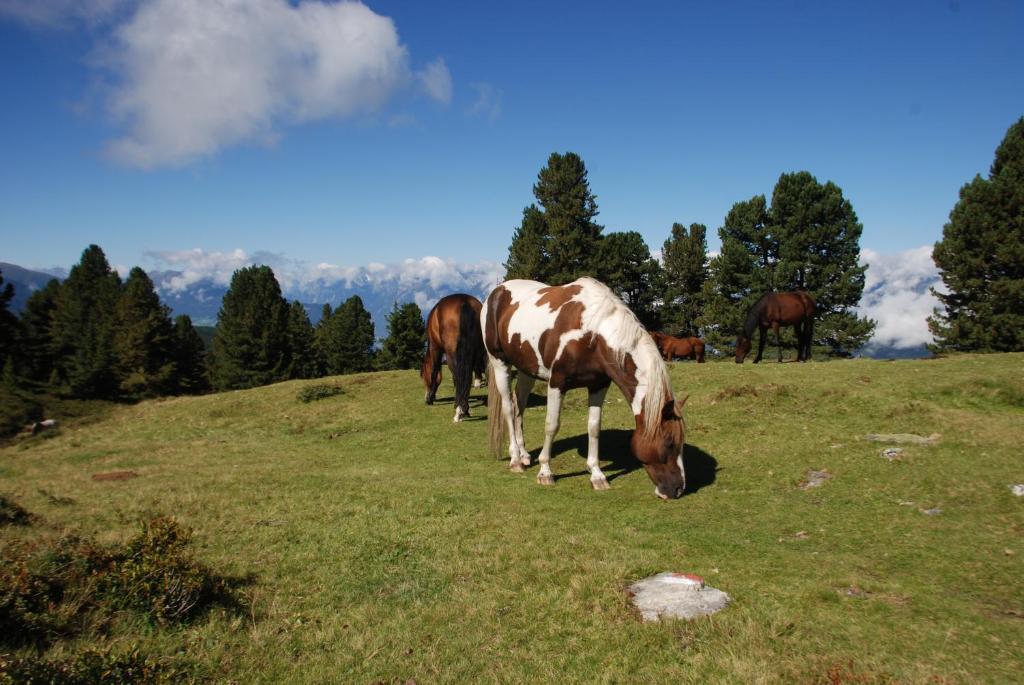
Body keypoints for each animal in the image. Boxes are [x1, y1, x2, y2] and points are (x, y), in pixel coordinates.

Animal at [423, 290, 487, 419]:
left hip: (451, 353)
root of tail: (464, 302)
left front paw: (430, 398)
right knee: (467, 376)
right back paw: (464, 408)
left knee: (458, 375)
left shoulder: (435, 347)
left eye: (423, 377)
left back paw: (460, 408)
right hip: (473, 351)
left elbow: (435, 371)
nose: (425, 396)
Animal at [479, 274, 688, 499]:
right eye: (669, 442)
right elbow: (552, 425)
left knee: (519, 405)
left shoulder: (598, 385)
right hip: (500, 363)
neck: (593, 334)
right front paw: (545, 472)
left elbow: (594, 427)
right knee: (509, 408)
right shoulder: (557, 383)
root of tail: (496, 291)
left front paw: (596, 475)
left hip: (527, 370)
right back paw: (516, 459)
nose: (678, 489)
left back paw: (525, 455)